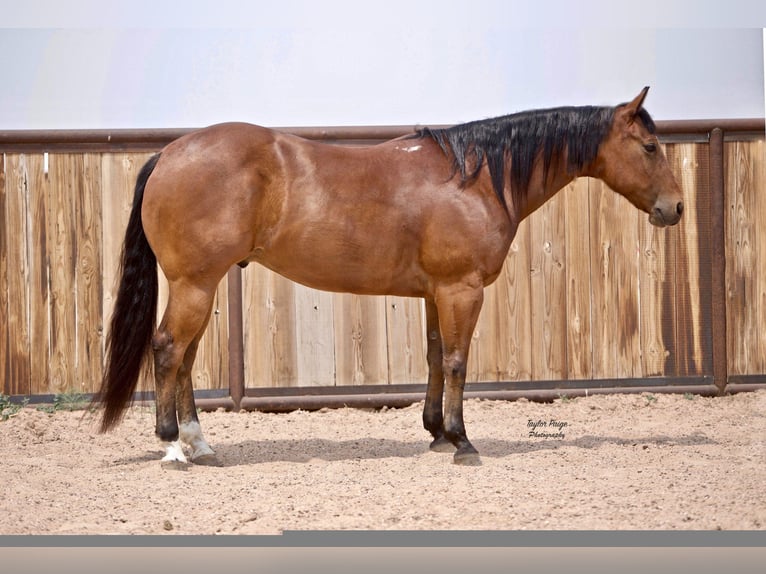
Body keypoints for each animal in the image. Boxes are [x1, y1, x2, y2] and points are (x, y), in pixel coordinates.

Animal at [94, 89, 684, 468]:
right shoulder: (462, 289)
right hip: (195, 283)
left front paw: (437, 434)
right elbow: (457, 360)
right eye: (649, 146)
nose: (675, 207)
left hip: (201, 284)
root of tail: (170, 152)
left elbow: (434, 357)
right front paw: (462, 442)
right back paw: (173, 447)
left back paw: (200, 444)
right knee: (168, 350)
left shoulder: (436, 292)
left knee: (186, 357)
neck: (474, 179)